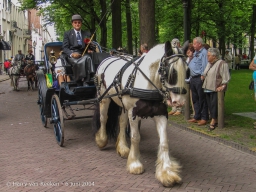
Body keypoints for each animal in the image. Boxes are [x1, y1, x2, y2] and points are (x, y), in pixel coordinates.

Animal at [93, 41, 188, 187]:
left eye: (187, 71)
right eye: (171, 72)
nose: (180, 102)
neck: (148, 84)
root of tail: (107, 58)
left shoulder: (161, 114)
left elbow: (164, 142)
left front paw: (166, 173)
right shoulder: (134, 113)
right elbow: (135, 137)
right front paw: (134, 164)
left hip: (123, 105)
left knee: (121, 122)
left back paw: (123, 148)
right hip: (104, 98)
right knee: (103, 118)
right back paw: (102, 140)